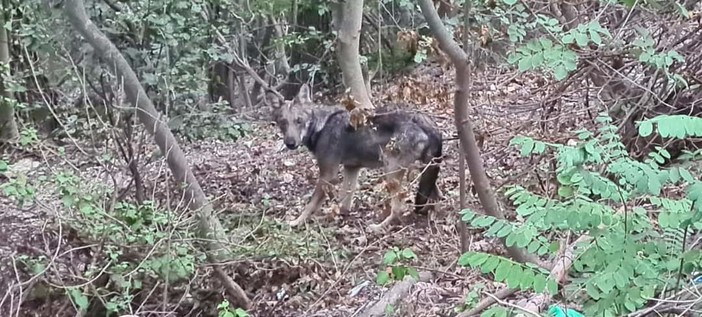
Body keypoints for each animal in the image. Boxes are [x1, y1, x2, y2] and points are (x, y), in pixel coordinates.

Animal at [266, 84, 442, 231]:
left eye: (299, 121)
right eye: (283, 123)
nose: (290, 143)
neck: (321, 127)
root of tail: (424, 120)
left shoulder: (327, 175)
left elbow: (310, 205)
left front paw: (296, 222)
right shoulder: (351, 169)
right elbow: (344, 201)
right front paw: (335, 216)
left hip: (391, 171)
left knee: (399, 208)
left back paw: (378, 227)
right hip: (424, 171)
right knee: (434, 197)